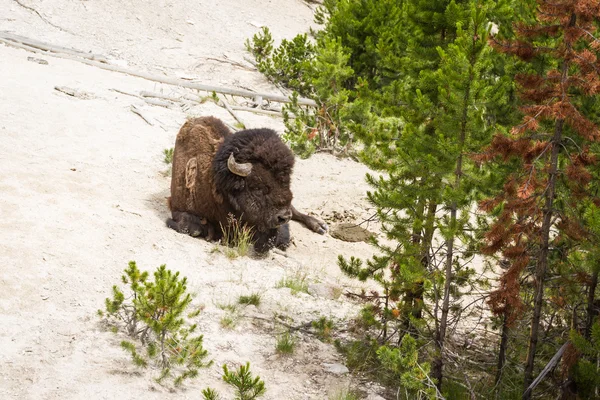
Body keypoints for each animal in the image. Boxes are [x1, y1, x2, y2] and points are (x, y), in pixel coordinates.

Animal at [168, 116, 328, 253]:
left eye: (287, 181)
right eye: (257, 187)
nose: (284, 217)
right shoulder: (178, 207)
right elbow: (193, 228)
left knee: (296, 211)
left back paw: (320, 225)